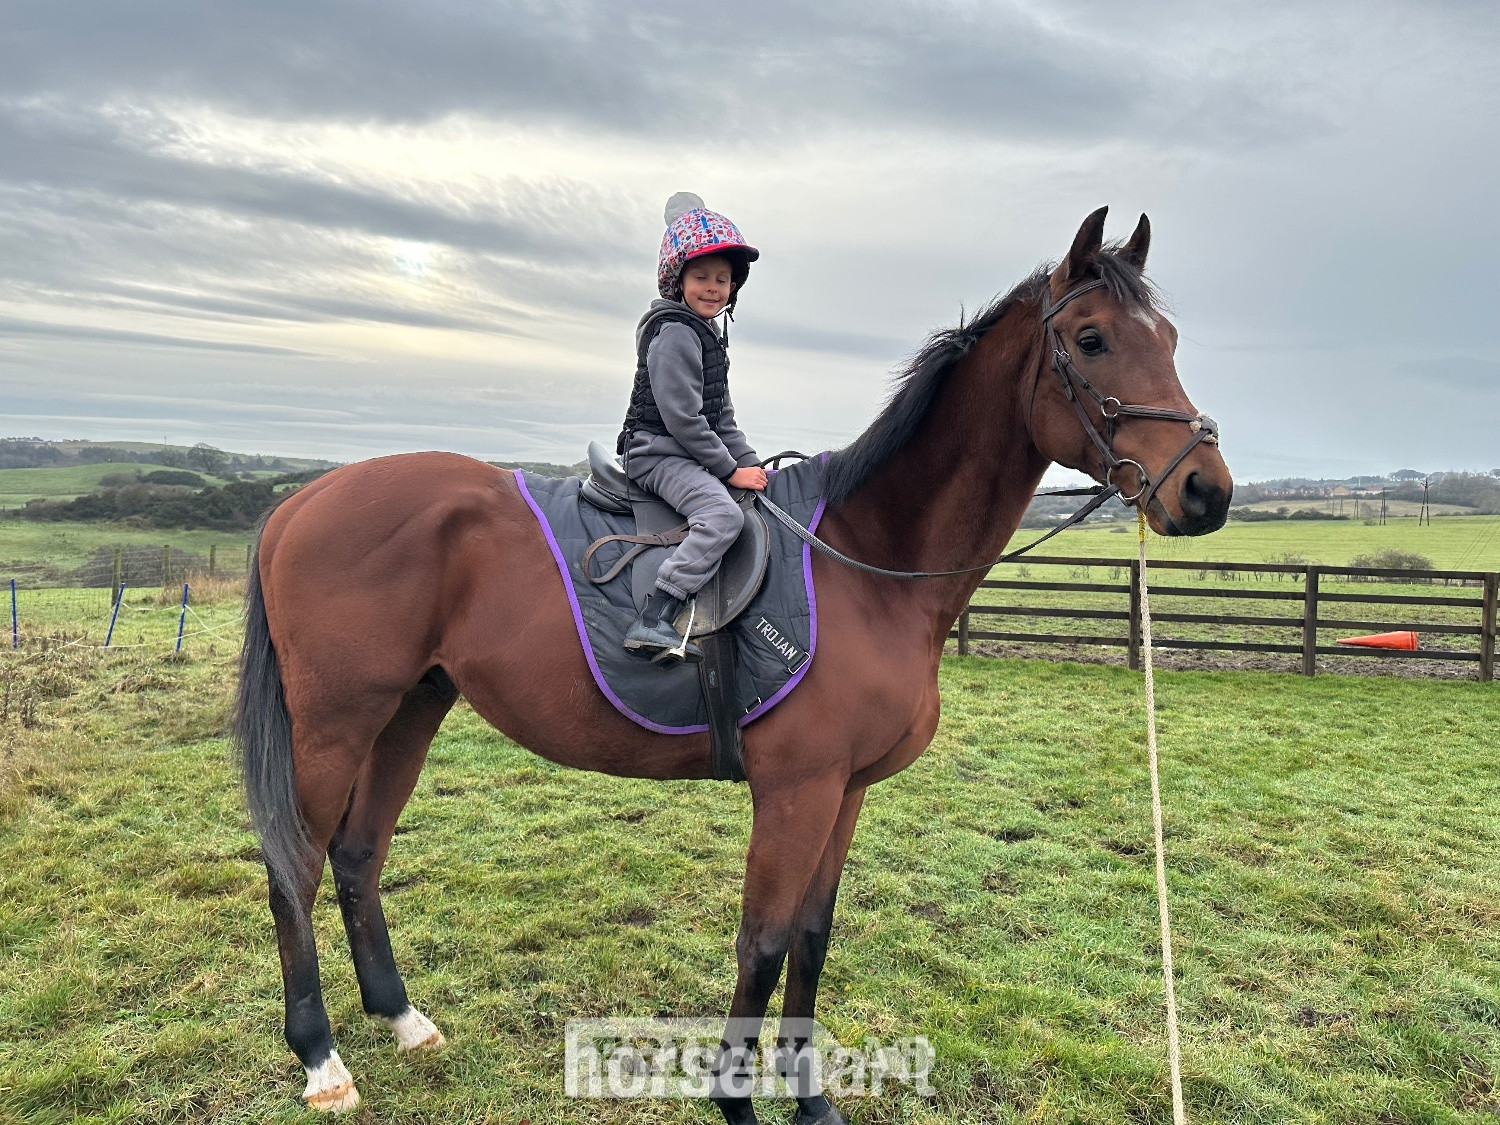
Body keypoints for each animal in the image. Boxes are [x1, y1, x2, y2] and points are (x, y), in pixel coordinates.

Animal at [236, 207, 1233, 1123]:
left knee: (359, 854)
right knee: (296, 868)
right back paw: (321, 1057)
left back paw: (403, 1019)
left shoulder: (846, 789)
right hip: (335, 724)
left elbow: (813, 937)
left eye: (1171, 340)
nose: (1207, 491)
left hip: (412, 706)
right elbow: (761, 941)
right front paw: (737, 1099)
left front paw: (810, 1097)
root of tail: (297, 503)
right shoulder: (795, 789)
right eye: (1093, 338)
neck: (863, 558)